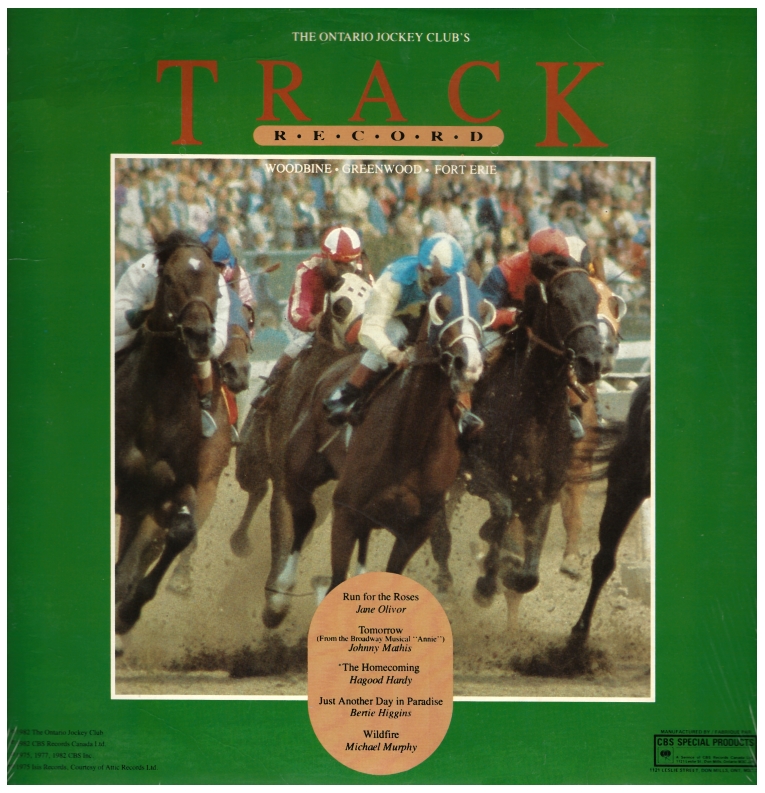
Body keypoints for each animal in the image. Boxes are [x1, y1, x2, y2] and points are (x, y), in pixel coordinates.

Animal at [230, 272, 372, 627]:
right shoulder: (287, 483)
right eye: (340, 301)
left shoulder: (325, 496)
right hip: (249, 458)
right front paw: (275, 605)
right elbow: (283, 531)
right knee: (256, 488)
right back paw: (240, 541)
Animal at [281, 272, 493, 608]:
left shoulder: (417, 528)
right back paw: (280, 595)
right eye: (441, 306)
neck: (411, 441)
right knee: (303, 517)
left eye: (484, 311)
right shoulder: (346, 511)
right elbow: (336, 582)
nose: (469, 364)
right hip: (299, 466)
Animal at [462, 251, 602, 626]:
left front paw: (509, 572)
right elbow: (500, 514)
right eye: (560, 301)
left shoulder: (543, 494)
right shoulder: (480, 474)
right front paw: (486, 583)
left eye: (595, 299)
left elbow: (528, 574)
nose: (592, 362)